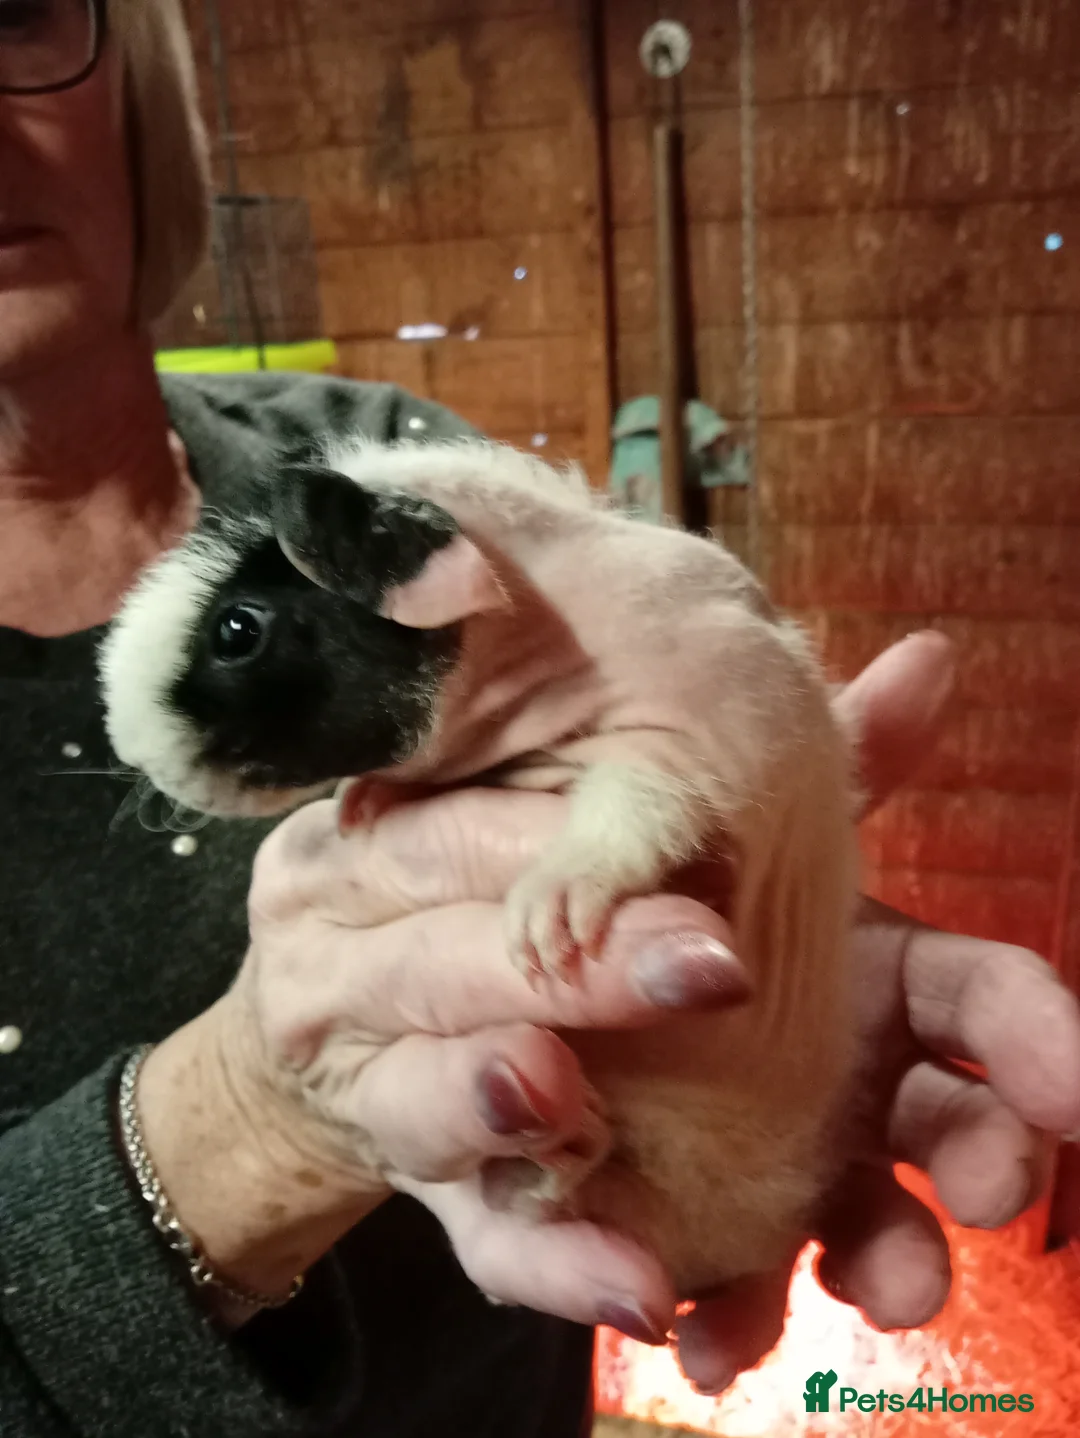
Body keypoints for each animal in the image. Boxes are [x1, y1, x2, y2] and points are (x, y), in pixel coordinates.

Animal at [98, 435, 858, 1298]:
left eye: (237, 628)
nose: (135, 753)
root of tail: (740, 1248)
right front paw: (363, 806)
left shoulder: (688, 756)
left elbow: (632, 811)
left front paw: (548, 929)